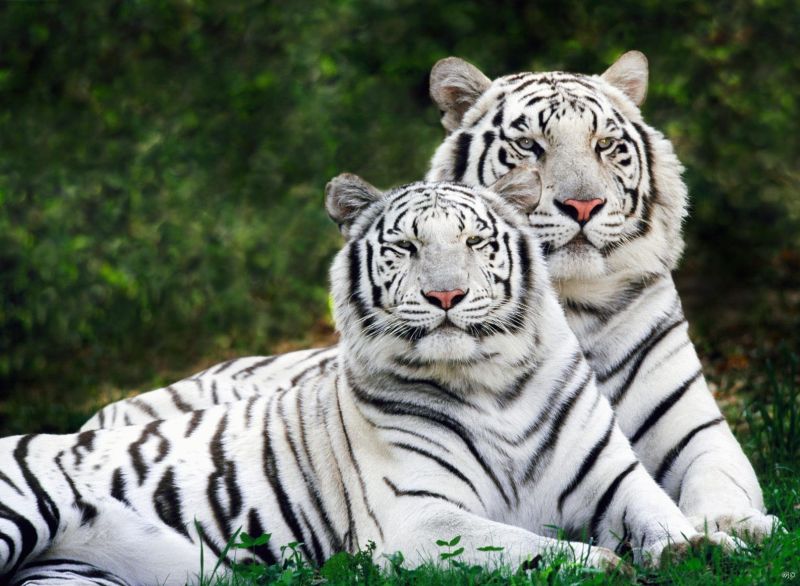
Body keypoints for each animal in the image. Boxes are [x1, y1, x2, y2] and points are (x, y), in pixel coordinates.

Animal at [0, 177, 736, 584]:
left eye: (476, 243)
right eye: (406, 247)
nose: (446, 296)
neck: (491, 383)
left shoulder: (614, 479)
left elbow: (662, 516)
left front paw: (707, 546)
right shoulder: (417, 518)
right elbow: (529, 546)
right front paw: (604, 565)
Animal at [81, 50, 780, 540]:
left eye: (607, 145)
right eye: (529, 146)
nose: (582, 205)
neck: (572, 305)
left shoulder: (696, 430)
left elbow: (721, 481)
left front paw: (736, 527)